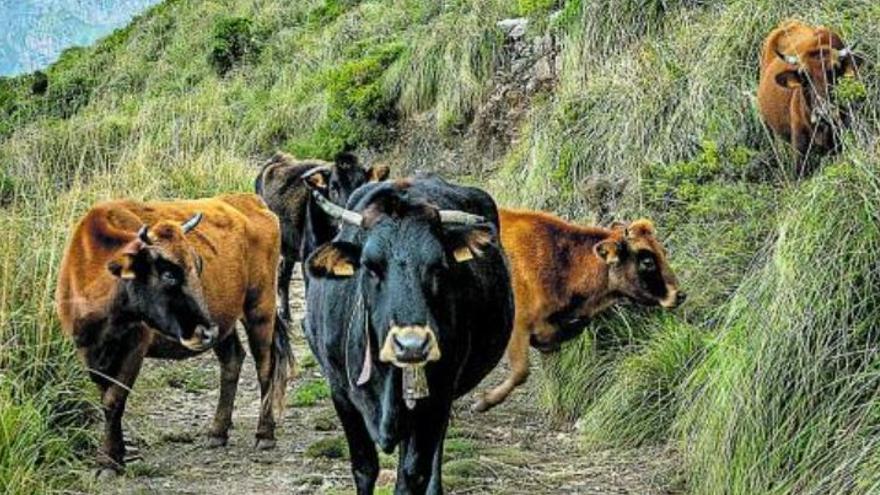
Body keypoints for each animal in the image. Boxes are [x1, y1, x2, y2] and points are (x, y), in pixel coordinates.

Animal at [55, 194, 292, 476]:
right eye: (168, 274)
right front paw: (117, 454)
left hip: (260, 306)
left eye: (198, 265)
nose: (206, 331)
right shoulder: (88, 349)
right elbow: (107, 397)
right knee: (232, 359)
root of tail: (250, 200)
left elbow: (114, 399)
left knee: (265, 366)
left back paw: (265, 434)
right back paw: (217, 431)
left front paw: (108, 461)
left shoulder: (135, 348)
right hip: (227, 320)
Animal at [302, 176, 512, 494]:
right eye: (370, 266)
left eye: (439, 266)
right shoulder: (340, 394)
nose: (412, 345)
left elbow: (413, 474)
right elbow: (364, 468)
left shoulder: (437, 397)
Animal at [474, 208, 680, 410]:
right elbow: (521, 371)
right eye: (647, 262)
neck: (562, 261)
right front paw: (483, 402)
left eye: (663, 252)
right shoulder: (519, 328)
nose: (679, 294)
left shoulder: (549, 335)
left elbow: (555, 377)